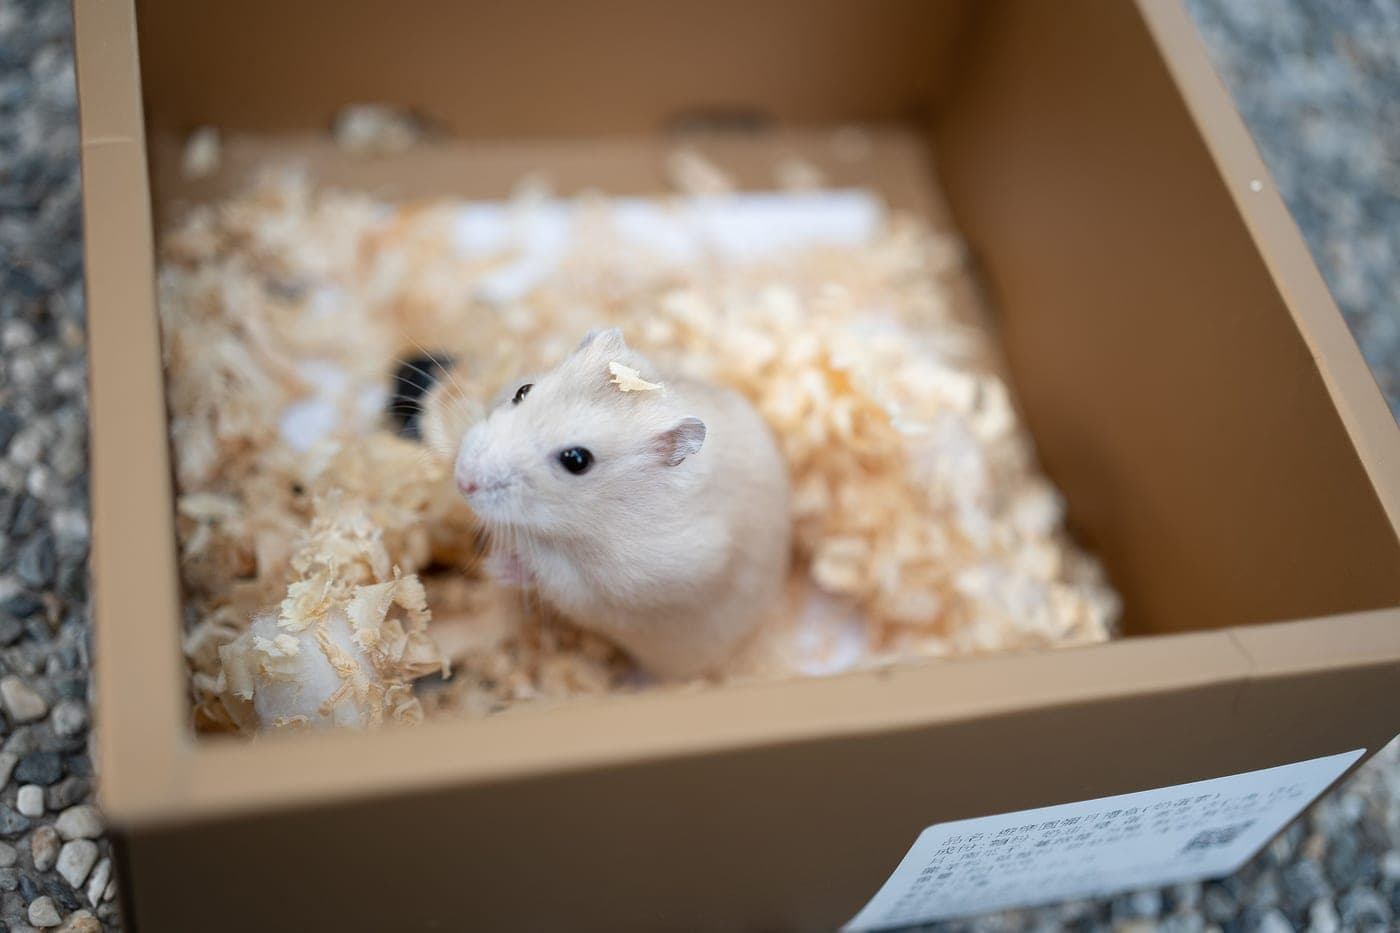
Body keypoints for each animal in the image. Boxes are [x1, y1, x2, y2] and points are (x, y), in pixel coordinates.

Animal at [453, 328, 791, 679]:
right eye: (523, 391)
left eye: (577, 460)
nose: (463, 481)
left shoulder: (616, 583)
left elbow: (551, 577)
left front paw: (497, 567)